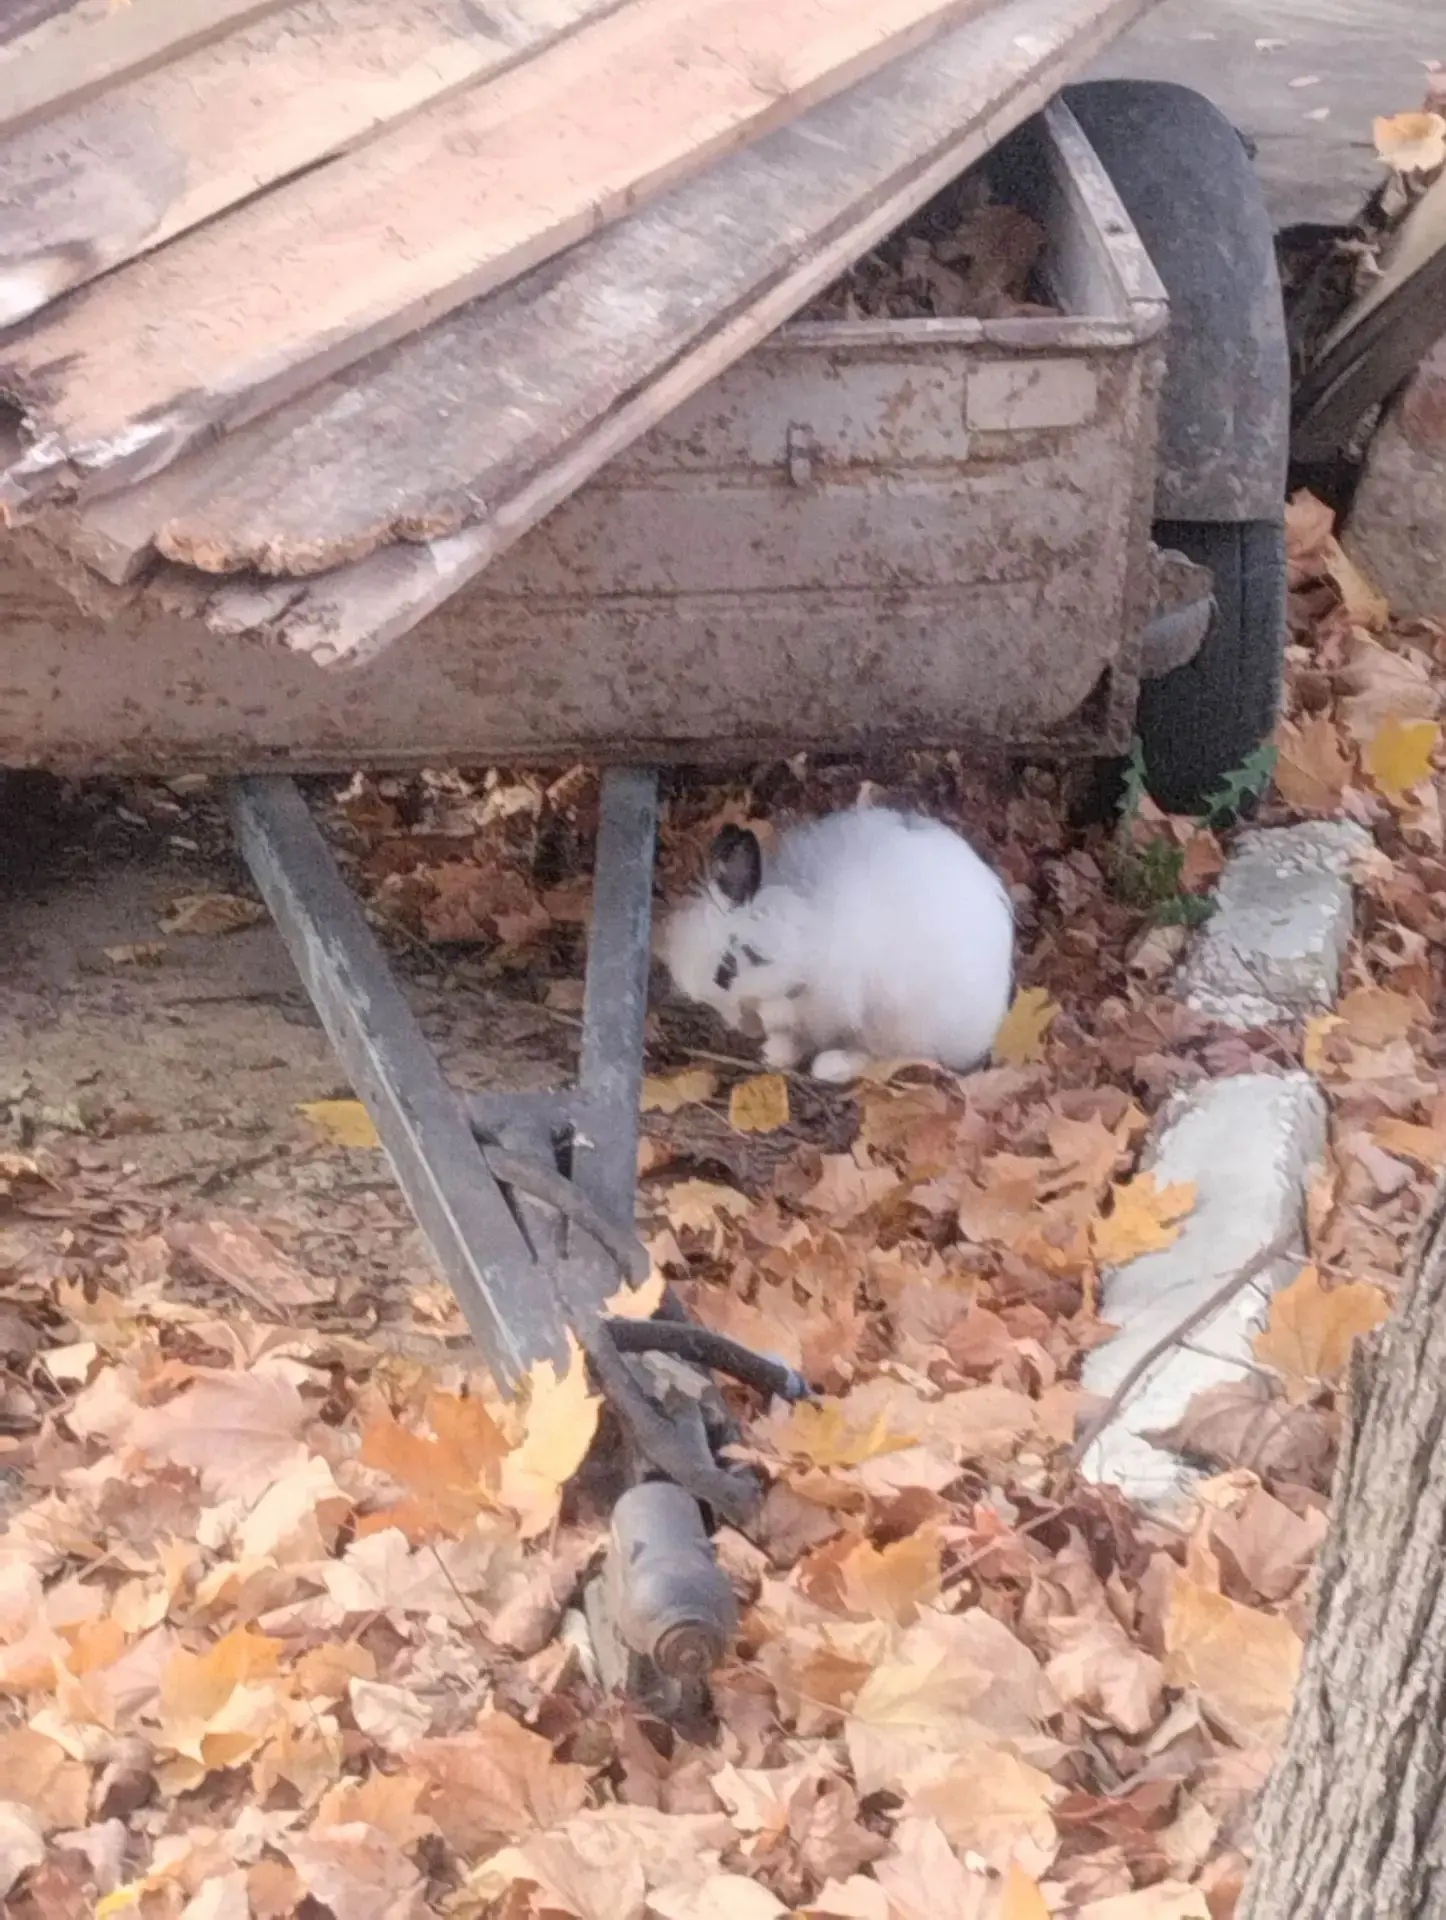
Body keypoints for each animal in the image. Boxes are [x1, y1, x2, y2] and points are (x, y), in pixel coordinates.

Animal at [659, 805, 1014, 1084]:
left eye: (726, 968)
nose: (696, 993)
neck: (805, 941)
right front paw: (770, 1050)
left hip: (900, 1025)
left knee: (890, 1057)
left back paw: (831, 1067)